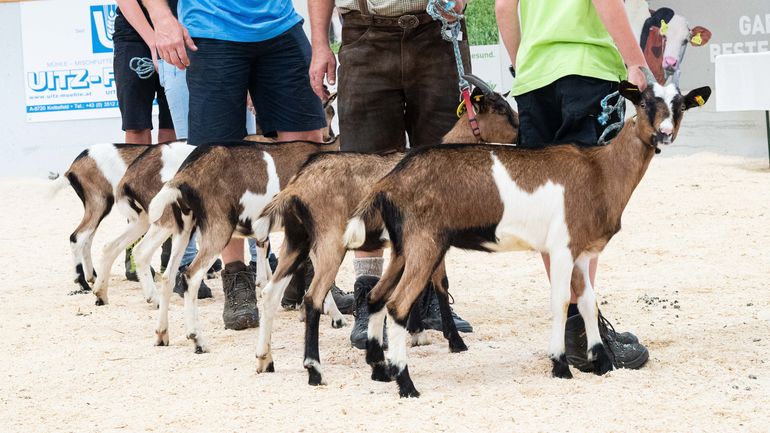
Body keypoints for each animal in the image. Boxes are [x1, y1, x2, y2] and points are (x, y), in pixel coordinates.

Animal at [49, 143, 152, 292]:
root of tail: (73, 167)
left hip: (95, 207)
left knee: (87, 240)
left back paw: (92, 277)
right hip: (100, 203)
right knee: (76, 237)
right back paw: (83, 283)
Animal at [135, 138, 340, 352]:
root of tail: (186, 174)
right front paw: (335, 316)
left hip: (184, 227)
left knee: (168, 277)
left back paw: (162, 334)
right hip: (218, 228)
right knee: (191, 276)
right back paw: (197, 340)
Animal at [252, 75, 516, 384]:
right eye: (501, 109)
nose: (520, 133)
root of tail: (297, 185)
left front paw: (416, 333)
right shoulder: (432, 236)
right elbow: (440, 283)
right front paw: (454, 341)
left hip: (297, 240)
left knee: (270, 293)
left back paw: (265, 359)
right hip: (330, 242)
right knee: (312, 298)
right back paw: (314, 369)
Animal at [344, 69, 712, 396]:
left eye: (680, 106)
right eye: (645, 102)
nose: (665, 132)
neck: (601, 170)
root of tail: (389, 181)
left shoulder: (582, 251)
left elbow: (588, 302)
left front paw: (602, 362)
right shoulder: (561, 248)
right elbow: (561, 300)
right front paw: (561, 366)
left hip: (403, 247)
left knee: (377, 296)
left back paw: (380, 370)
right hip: (425, 243)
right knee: (397, 305)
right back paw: (406, 384)